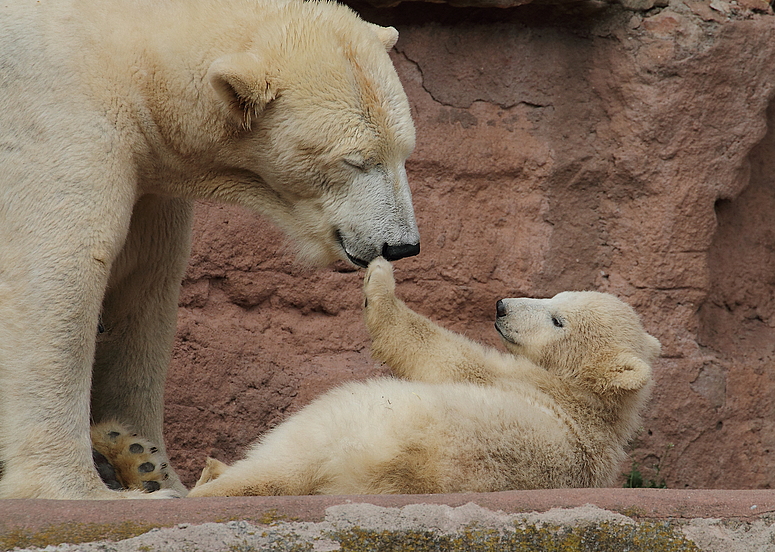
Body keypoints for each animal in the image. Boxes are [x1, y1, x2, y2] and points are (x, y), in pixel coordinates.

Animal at [0, 1, 422, 500]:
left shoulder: (149, 184)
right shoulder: (61, 112)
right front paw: (83, 489)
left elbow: (145, 284)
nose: (401, 245)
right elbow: (59, 267)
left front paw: (151, 466)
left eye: (404, 151)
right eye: (355, 160)